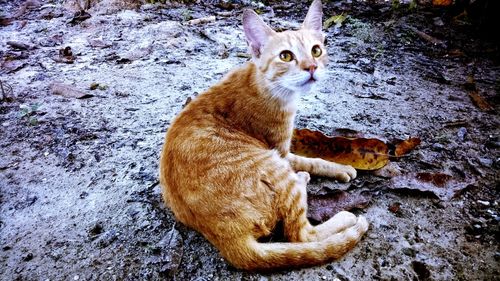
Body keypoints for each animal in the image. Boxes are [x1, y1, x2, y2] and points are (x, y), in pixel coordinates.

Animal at [160, 0, 368, 270]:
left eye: (316, 51)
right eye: (286, 56)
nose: (312, 67)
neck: (264, 83)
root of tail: (228, 238)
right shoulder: (281, 151)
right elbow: (312, 160)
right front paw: (340, 167)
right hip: (275, 165)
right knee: (301, 234)